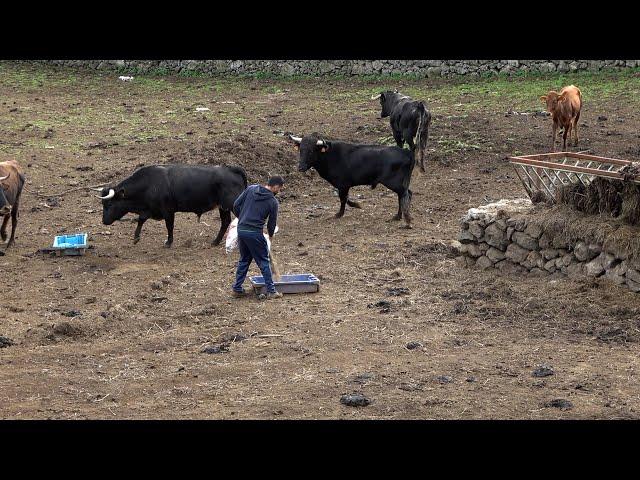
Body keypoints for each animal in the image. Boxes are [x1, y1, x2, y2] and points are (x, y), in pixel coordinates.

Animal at [95, 164, 248, 248]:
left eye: (110, 203)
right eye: (103, 203)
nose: (104, 221)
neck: (150, 183)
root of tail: (230, 169)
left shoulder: (168, 211)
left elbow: (169, 226)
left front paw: (168, 242)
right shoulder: (149, 210)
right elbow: (141, 220)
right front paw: (136, 237)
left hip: (232, 205)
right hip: (223, 207)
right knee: (225, 222)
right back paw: (215, 241)